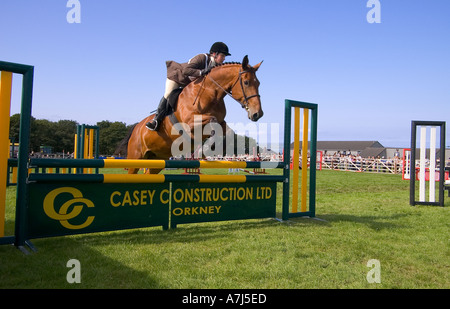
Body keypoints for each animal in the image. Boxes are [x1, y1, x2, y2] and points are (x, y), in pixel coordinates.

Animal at [117, 55, 264, 174]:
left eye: (258, 83)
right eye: (246, 82)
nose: (258, 114)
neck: (210, 92)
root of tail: (136, 127)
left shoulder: (221, 122)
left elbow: (227, 131)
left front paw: (209, 149)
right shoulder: (190, 123)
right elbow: (212, 120)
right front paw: (205, 149)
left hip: (158, 159)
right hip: (136, 157)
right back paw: (152, 123)